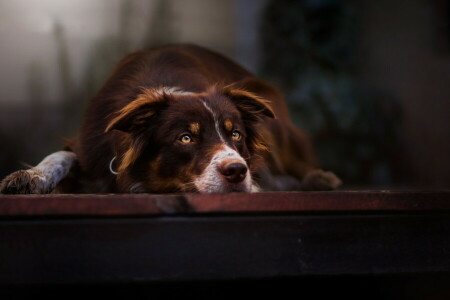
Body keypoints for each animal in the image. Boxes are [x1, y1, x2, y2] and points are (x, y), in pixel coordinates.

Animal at [0, 44, 342, 195]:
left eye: (235, 135)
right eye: (185, 138)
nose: (236, 171)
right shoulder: (90, 144)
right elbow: (59, 156)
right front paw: (30, 177)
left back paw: (317, 178)